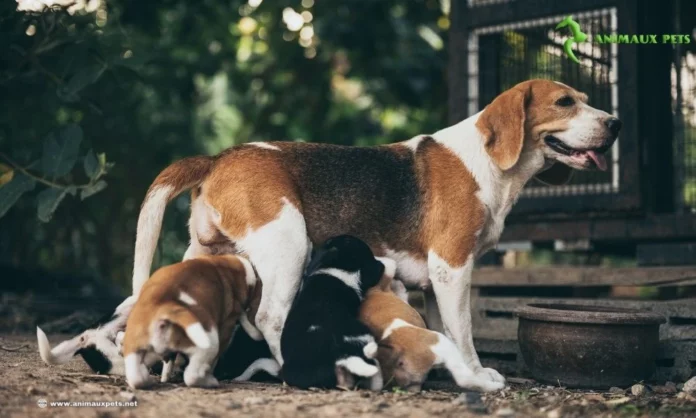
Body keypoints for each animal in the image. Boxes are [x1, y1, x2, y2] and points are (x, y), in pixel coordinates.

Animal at [121, 253, 260, 390]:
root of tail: (166, 306)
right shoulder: (226, 328)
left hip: (133, 348)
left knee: (136, 376)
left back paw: (146, 380)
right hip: (208, 343)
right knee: (192, 375)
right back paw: (209, 382)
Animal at [278, 233, 386, 390]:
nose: (382, 264)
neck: (334, 267)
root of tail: (339, 354)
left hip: (294, 371)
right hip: (364, 333)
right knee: (374, 368)